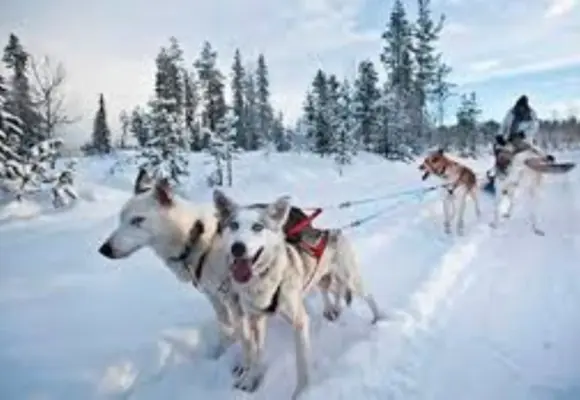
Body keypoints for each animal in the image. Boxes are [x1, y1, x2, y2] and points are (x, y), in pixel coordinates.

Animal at [213, 189, 386, 398]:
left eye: (257, 227)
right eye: (234, 225)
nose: (237, 247)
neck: (265, 280)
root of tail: (333, 231)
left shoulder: (299, 322)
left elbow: (301, 364)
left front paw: (302, 393)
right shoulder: (256, 320)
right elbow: (257, 353)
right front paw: (250, 379)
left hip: (350, 279)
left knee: (368, 296)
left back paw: (379, 320)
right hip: (323, 280)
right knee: (333, 292)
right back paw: (333, 309)